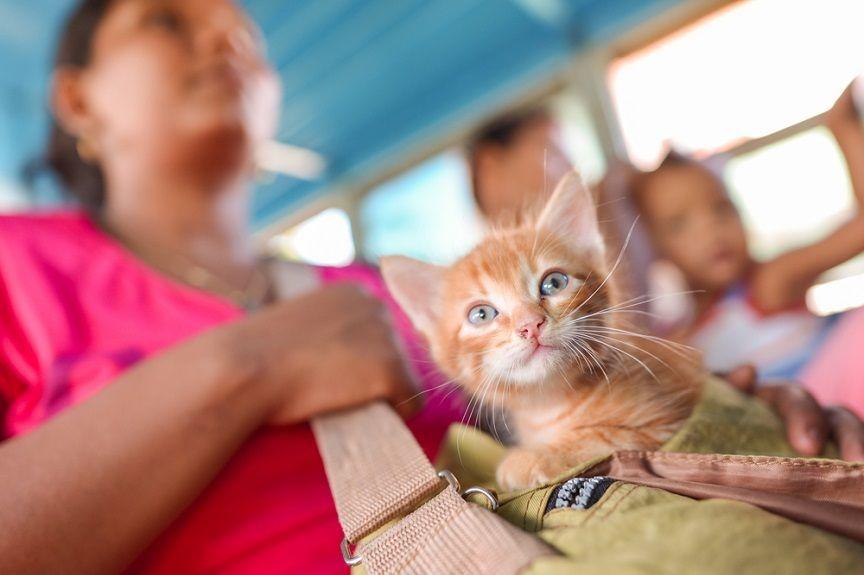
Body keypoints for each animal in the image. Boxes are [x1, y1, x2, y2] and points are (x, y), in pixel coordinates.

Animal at [384, 171, 704, 490]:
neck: (548, 407)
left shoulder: (667, 422)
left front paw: (531, 458)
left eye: (554, 283)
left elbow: (608, 436)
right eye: (481, 314)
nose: (530, 325)